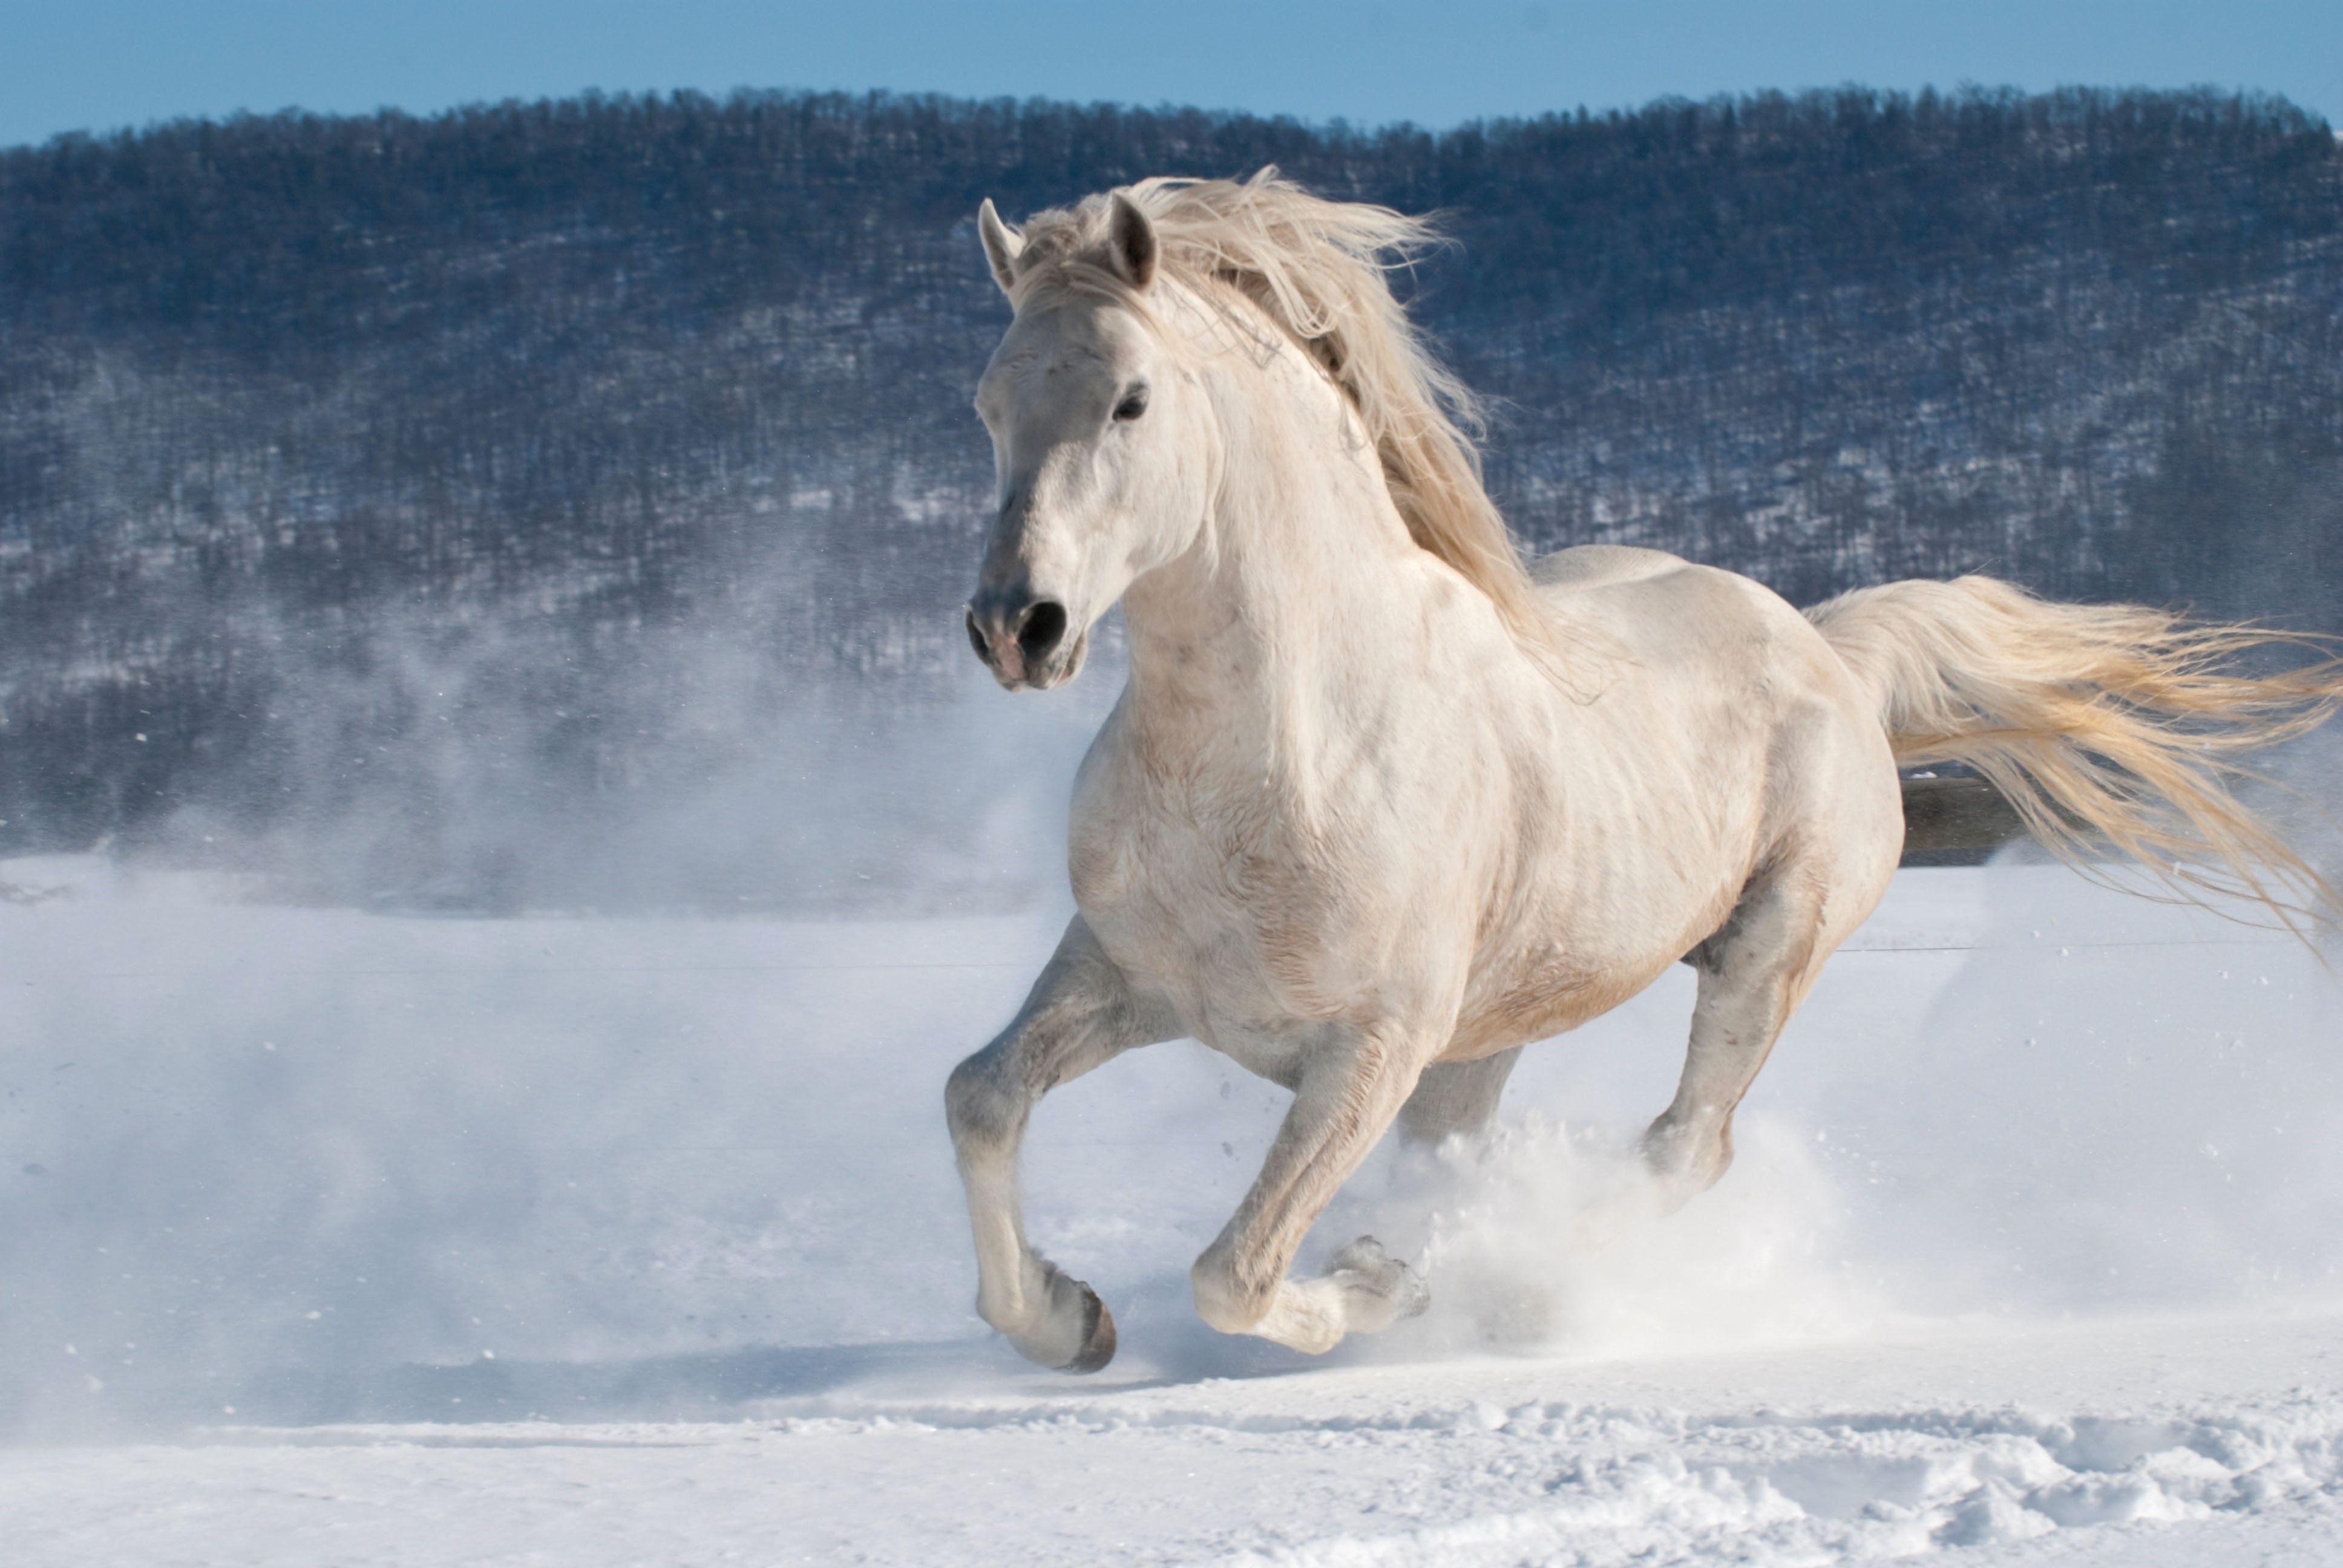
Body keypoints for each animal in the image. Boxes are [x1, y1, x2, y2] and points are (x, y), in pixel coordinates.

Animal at [942, 174, 2333, 1368]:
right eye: (988, 404)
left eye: (1131, 400)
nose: (1018, 627)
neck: (1285, 752)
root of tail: (1826, 651)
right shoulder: (1124, 978)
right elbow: (979, 1098)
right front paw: (1068, 1321)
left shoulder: (1372, 1046)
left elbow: (1236, 1272)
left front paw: (1376, 1289)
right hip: (1496, 1023)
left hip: (1765, 950)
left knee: (1684, 1149)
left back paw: (1524, 1288)